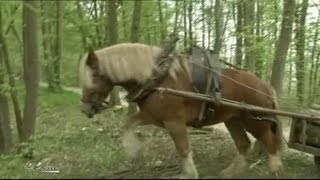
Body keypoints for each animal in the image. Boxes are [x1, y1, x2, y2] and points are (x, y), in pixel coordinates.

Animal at [79, 42, 282, 179]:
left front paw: (189, 174)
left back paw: (275, 168)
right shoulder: (151, 116)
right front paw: (134, 150)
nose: (86, 109)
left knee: (270, 142)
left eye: (94, 75)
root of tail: (265, 86)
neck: (158, 79)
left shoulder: (174, 122)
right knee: (243, 144)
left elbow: (183, 149)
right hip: (233, 120)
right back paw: (231, 172)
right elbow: (127, 125)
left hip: (255, 121)